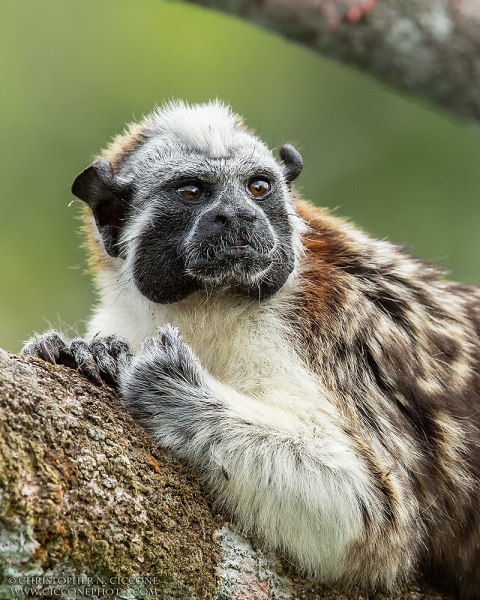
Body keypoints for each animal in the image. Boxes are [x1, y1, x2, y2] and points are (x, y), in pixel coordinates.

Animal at [23, 101, 480, 596]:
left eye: (257, 187)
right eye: (192, 191)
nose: (239, 216)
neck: (208, 307)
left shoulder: (325, 326)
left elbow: (374, 512)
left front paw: (171, 386)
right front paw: (79, 352)